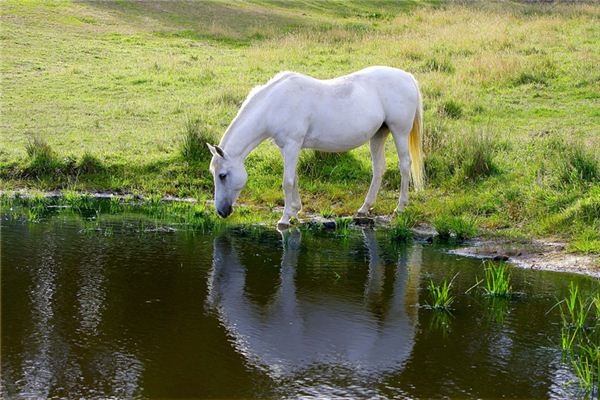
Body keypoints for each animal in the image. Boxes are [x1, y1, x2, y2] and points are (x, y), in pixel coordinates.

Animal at [209, 65, 424, 225]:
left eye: (222, 175)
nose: (221, 211)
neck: (275, 103)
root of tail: (407, 77)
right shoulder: (287, 148)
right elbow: (294, 178)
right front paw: (295, 211)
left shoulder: (292, 145)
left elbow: (287, 181)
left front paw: (285, 219)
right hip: (379, 135)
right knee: (379, 168)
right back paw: (364, 208)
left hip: (399, 132)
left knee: (405, 165)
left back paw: (400, 207)